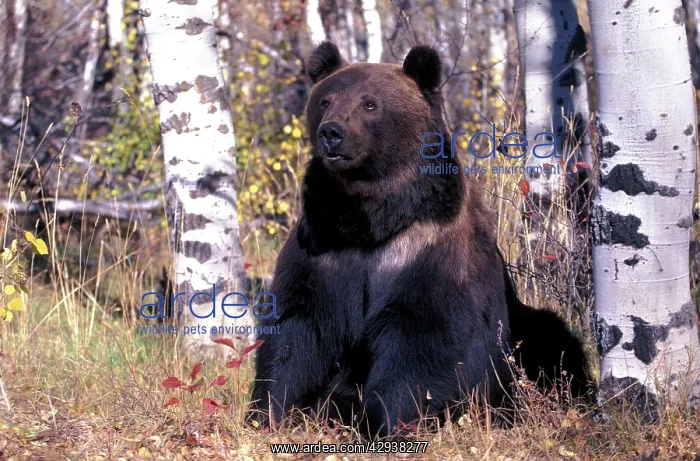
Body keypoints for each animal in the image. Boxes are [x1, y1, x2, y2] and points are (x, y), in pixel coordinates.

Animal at [249, 41, 590, 438]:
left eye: (370, 103)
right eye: (325, 100)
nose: (331, 132)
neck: (372, 220)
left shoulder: (428, 249)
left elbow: (423, 337)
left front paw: (391, 421)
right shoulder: (323, 246)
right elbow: (297, 329)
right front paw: (270, 413)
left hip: (519, 336)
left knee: (553, 342)